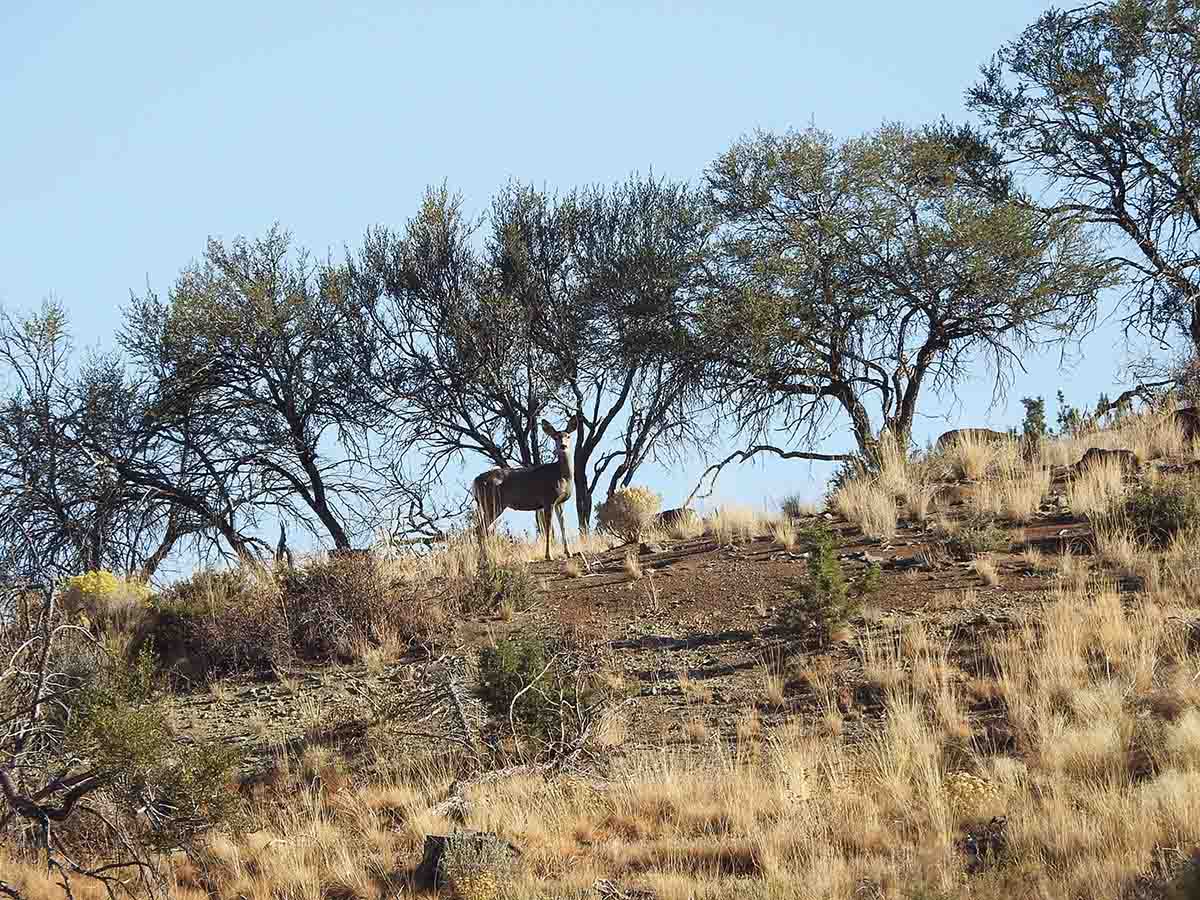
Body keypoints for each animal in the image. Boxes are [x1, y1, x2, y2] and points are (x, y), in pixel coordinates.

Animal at [470, 417, 578, 561]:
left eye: (568, 436)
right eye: (555, 437)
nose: (563, 446)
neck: (562, 476)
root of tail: (475, 481)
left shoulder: (560, 502)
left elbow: (563, 526)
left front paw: (568, 552)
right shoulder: (547, 500)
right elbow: (548, 528)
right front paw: (548, 555)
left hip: (488, 504)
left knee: (480, 528)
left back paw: (484, 557)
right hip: (493, 503)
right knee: (480, 529)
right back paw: (485, 558)